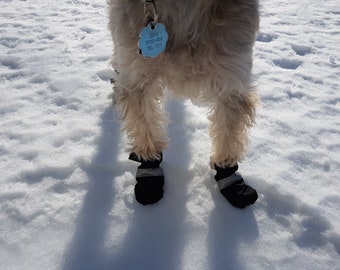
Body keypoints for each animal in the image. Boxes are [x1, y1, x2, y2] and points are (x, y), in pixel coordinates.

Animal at [109, 0, 260, 209]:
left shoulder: (232, 78)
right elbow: (145, 127)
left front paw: (228, 174)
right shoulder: (136, 75)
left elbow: (229, 134)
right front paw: (149, 170)